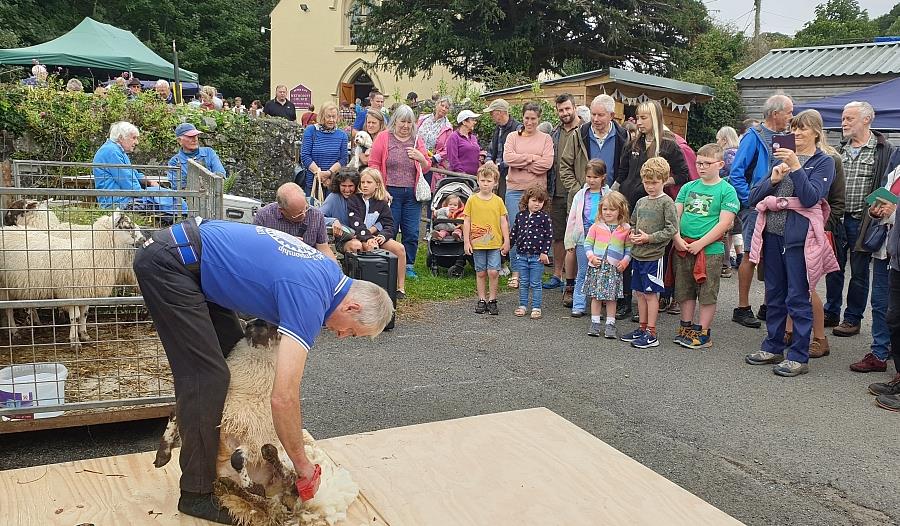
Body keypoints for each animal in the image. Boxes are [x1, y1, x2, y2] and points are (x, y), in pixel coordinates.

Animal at [0, 210, 143, 346]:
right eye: (127, 226)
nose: (143, 239)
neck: (91, 253)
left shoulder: (86, 292)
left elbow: (84, 315)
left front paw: (84, 335)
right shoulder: (72, 292)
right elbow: (75, 317)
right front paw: (74, 341)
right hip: (3, 284)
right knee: (8, 309)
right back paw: (14, 332)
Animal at [154, 322, 358, 526]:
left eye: (275, 327)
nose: (255, 323)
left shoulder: (254, 438)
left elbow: (237, 458)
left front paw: (249, 483)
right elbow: (174, 413)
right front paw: (162, 456)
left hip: (287, 462)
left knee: (288, 483)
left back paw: (267, 461)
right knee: (266, 500)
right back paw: (233, 485)